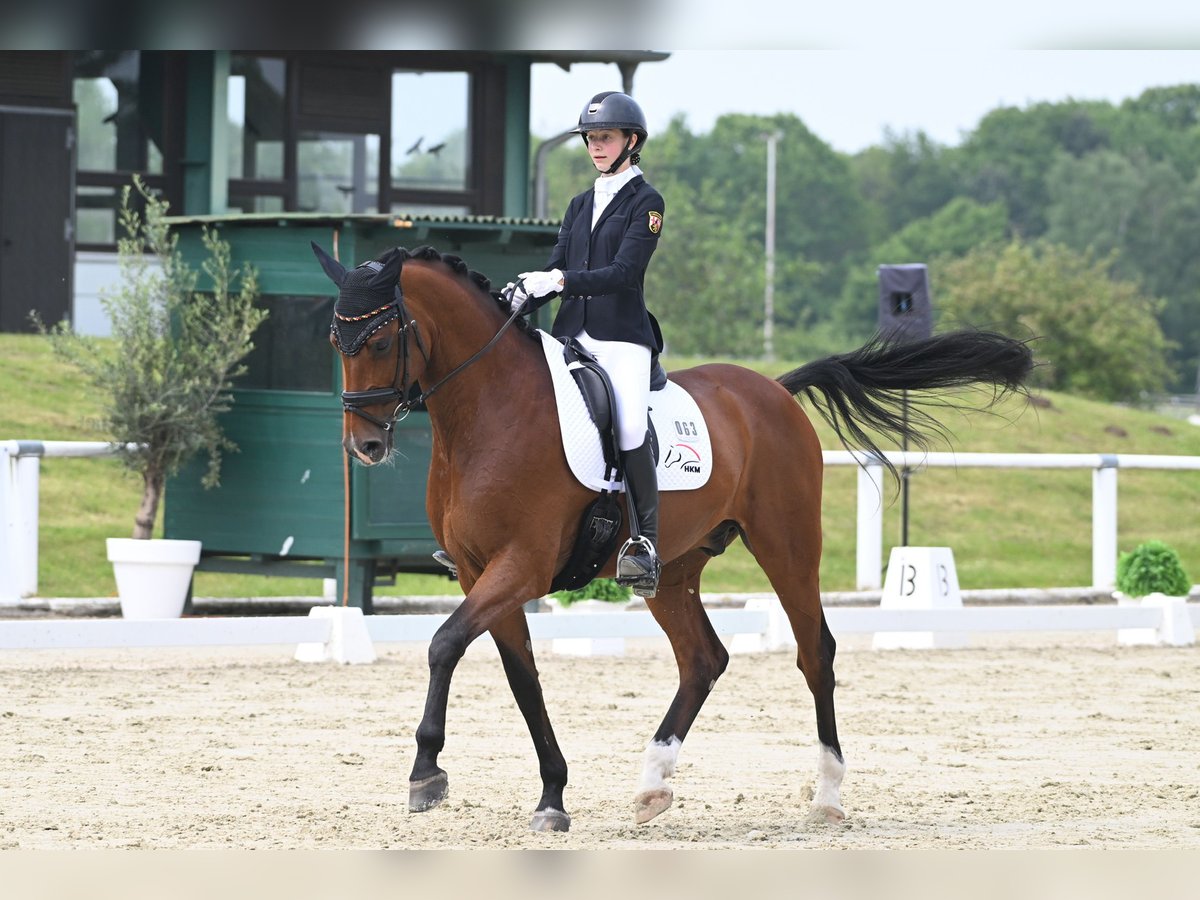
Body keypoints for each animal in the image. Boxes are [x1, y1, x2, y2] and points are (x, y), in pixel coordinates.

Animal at [312, 243, 1032, 835]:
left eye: (380, 338)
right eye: (336, 343)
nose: (364, 445)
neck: (490, 410)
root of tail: (773, 390)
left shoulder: (521, 566)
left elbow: (443, 644)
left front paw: (426, 773)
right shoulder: (477, 570)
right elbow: (522, 678)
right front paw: (552, 796)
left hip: (788, 547)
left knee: (815, 653)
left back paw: (827, 795)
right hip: (673, 569)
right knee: (703, 659)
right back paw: (652, 785)